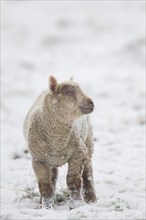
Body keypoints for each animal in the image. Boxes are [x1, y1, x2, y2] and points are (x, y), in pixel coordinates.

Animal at [23, 76, 97, 210]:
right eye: (68, 92)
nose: (91, 103)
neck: (57, 140)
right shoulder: (38, 160)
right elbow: (45, 184)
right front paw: (47, 207)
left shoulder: (77, 153)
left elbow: (74, 180)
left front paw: (77, 204)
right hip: (50, 159)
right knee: (53, 177)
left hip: (88, 142)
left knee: (88, 172)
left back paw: (91, 198)